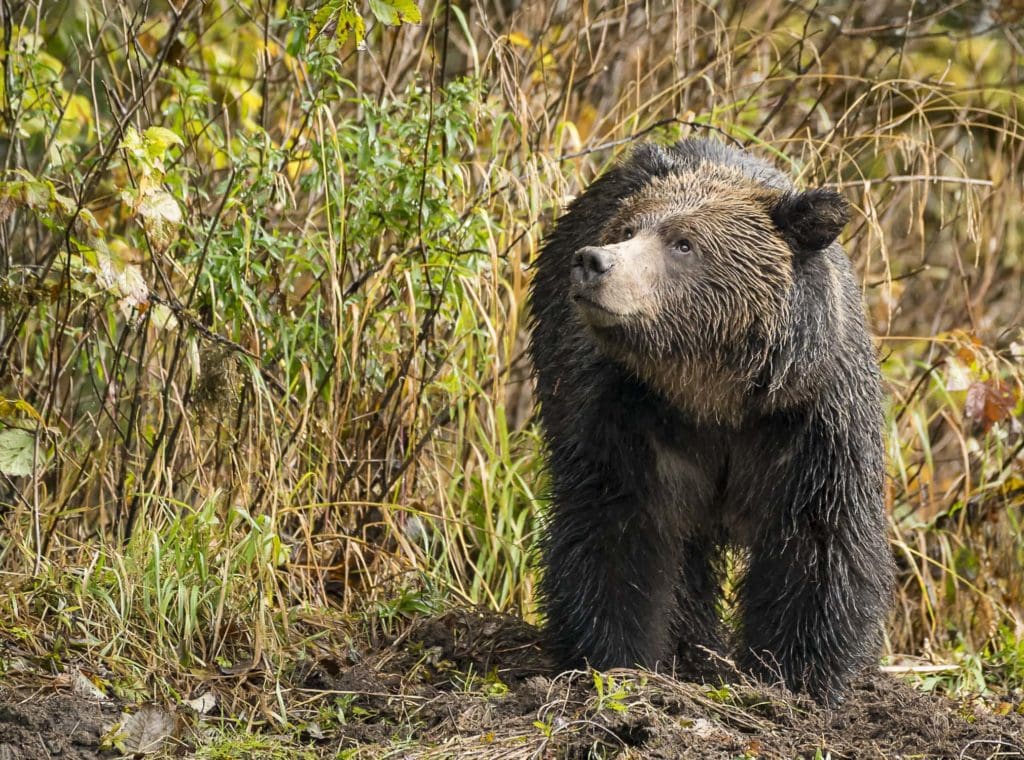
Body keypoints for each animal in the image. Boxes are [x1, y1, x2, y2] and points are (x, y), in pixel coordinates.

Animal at [528, 138, 894, 705]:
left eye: (684, 243)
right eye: (628, 229)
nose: (594, 262)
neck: (714, 394)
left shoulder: (810, 423)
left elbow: (817, 542)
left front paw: (796, 676)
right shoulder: (627, 416)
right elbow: (616, 529)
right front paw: (616, 659)